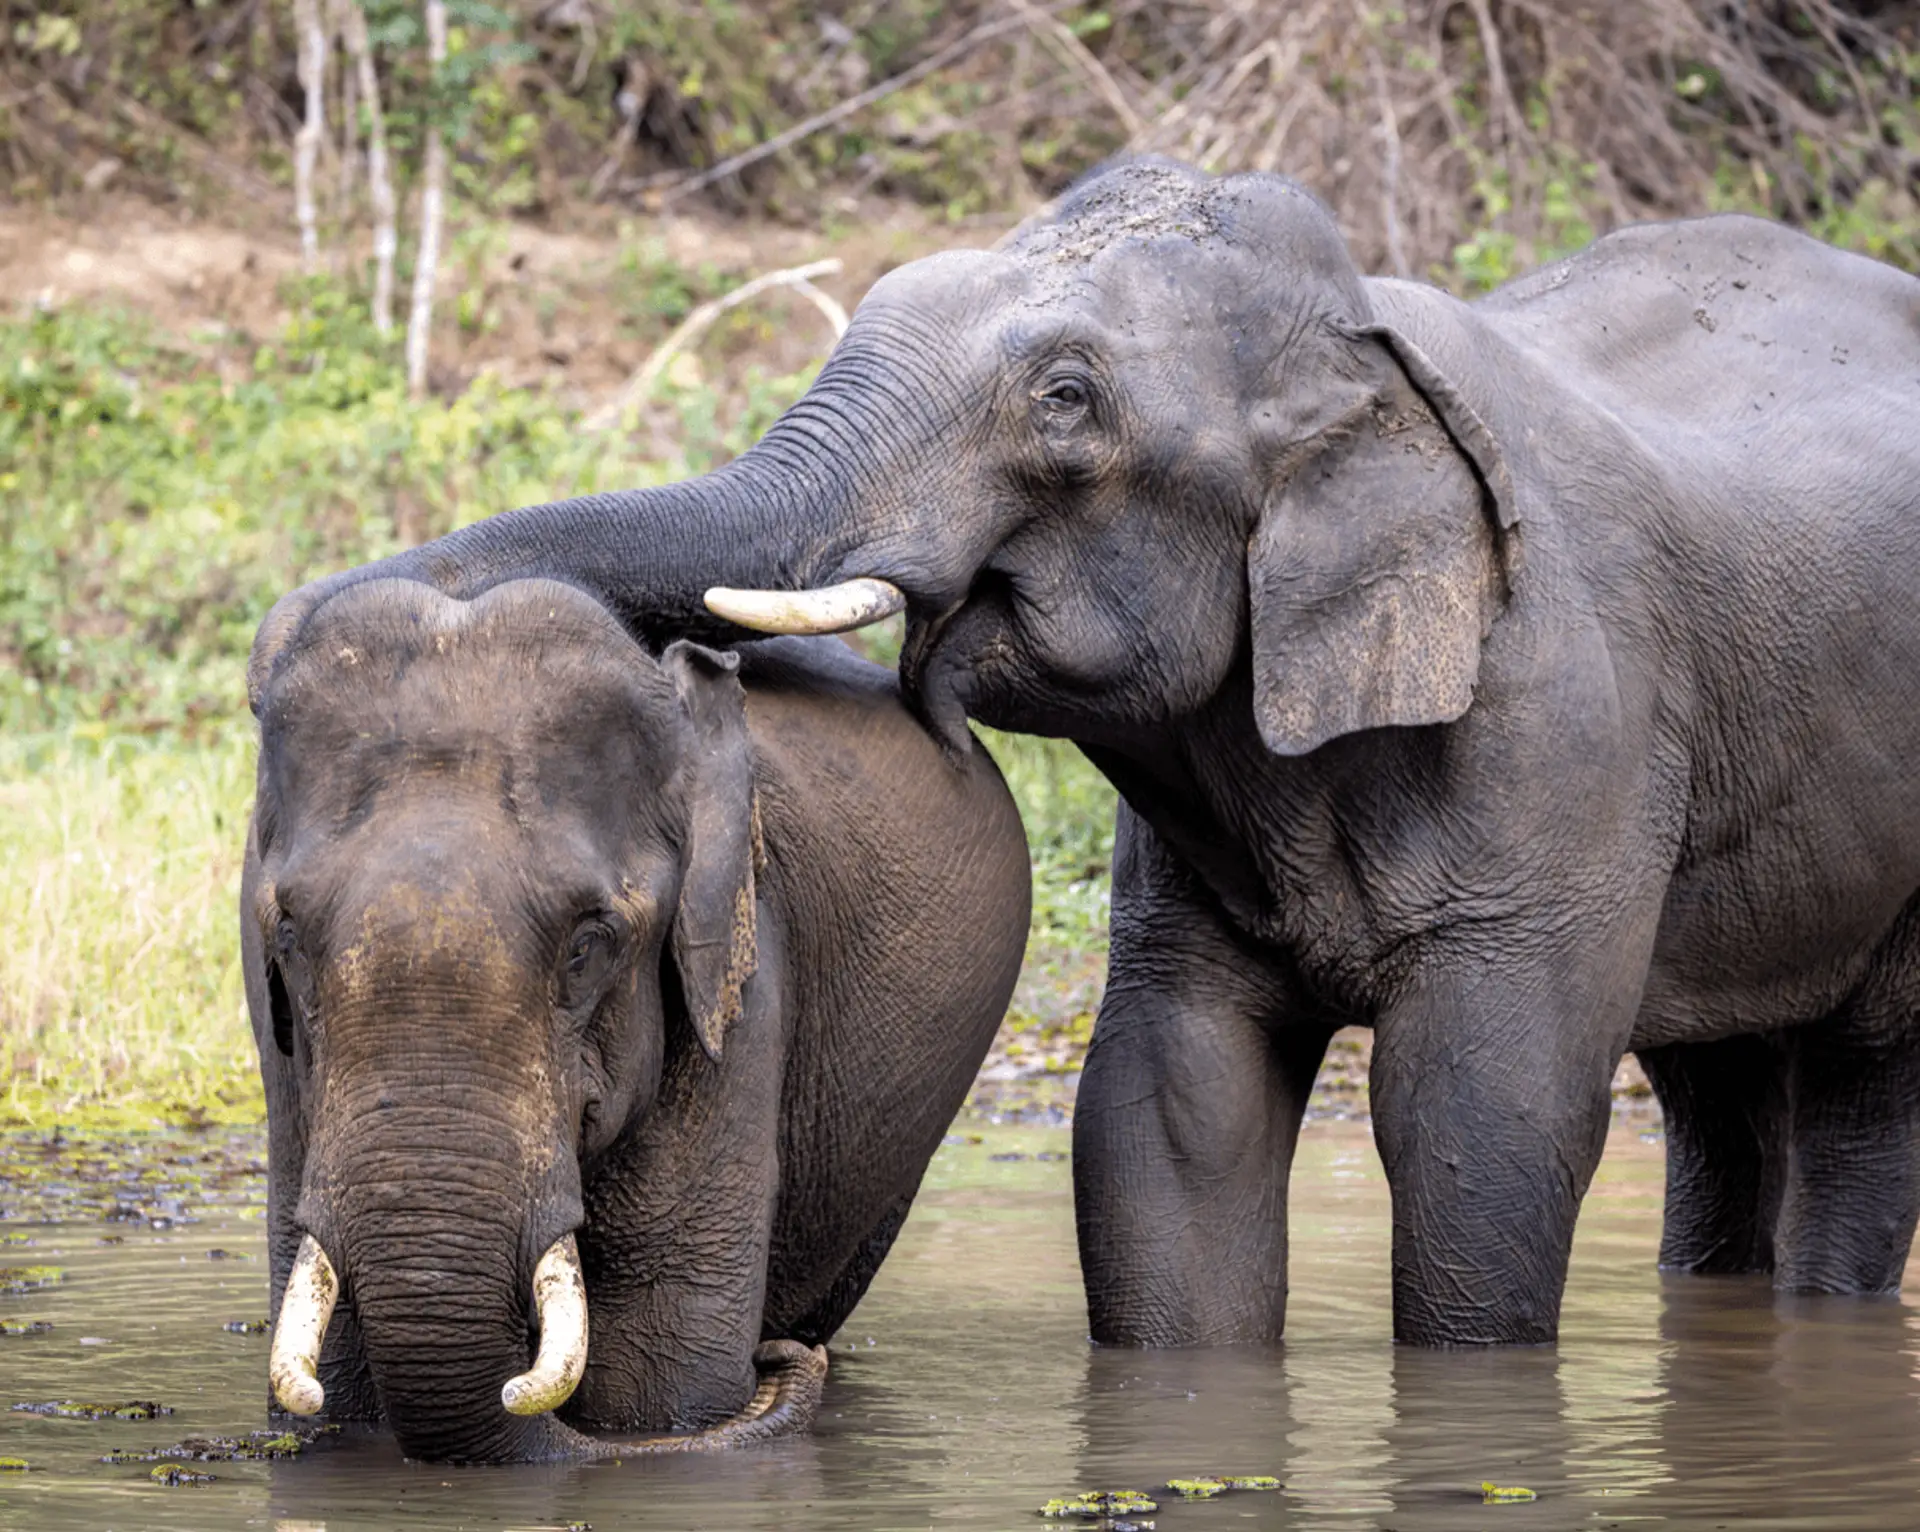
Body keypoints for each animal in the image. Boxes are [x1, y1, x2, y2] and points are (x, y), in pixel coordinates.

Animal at [240, 576, 1029, 1461]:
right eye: (290, 935)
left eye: (590, 942)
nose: (779, 1360)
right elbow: (335, 1388)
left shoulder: (738, 978)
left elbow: (660, 1388)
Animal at [250, 158, 1920, 1348]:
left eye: (1066, 401)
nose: (292, 631)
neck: (1363, 342)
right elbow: (1166, 1113)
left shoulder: (1563, 722)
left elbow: (1484, 1115)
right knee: (1713, 1087)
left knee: (1859, 1087)